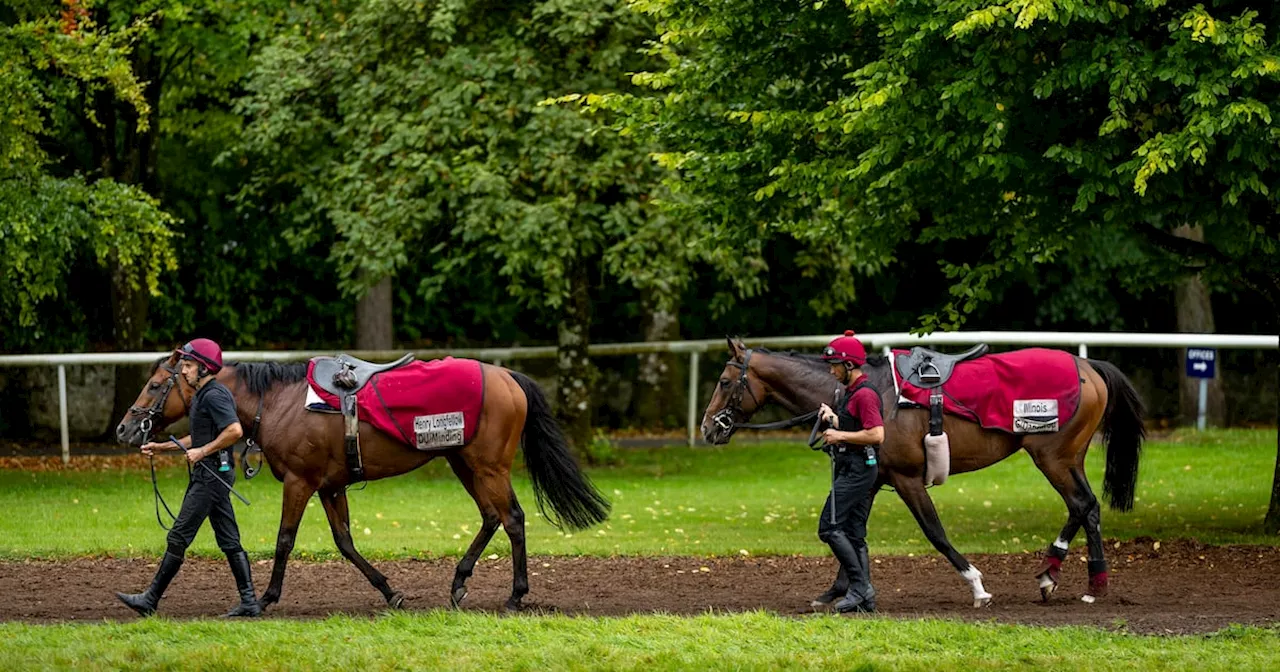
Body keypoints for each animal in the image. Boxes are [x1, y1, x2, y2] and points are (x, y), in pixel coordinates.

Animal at [115, 353, 609, 609]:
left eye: (155, 384)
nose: (125, 427)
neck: (281, 402)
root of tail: (507, 375)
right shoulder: (331, 486)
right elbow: (346, 542)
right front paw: (389, 591)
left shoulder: (300, 482)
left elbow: (285, 539)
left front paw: (269, 596)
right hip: (461, 462)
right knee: (492, 517)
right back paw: (459, 582)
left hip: (488, 467)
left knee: (513, 519)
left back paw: (515, 596)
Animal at [706, 337, 1146, 604]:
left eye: (725, 381)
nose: (709, 427)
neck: (871, 391)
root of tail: (1087, 365)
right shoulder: (875, 477)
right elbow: (849, 531)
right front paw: (839, 591)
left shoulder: (906, 478)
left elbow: (934, 531)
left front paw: (976, 584)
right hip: (1068, 458)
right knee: (1086, 507)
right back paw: (1073, 579)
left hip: (1053, 457)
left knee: (1082, 504)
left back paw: (1071, 579)